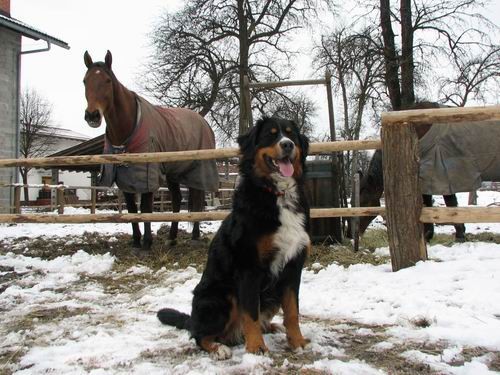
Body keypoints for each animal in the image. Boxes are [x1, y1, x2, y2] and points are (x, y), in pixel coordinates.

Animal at [82, 50, 219, 250]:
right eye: (85, 80)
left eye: (107, 80)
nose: (92, 115)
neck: (128, 128)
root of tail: (204, 122)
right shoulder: (125, 177)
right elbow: (132, 209)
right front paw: (136, 241)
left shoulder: (147, 174)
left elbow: (146, 208)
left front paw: (146, 243)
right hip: (173, 173)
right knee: (177, 199)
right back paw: (172, 238)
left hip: (198, 170)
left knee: (198, 201)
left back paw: (194, 236)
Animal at [158, 117, 310, 362]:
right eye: (271, 135)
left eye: (291, 135)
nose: (287, 145)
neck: (276, 195)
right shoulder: (249, 267)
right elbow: (251, 313)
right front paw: (257, 348)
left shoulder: (293, 266)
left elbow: (292, 312)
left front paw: (297, 342)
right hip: (220, 297)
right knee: (199, 335)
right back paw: (219, 347)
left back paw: (272, 327)